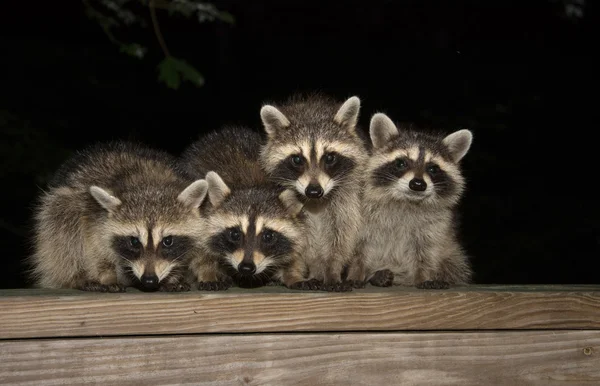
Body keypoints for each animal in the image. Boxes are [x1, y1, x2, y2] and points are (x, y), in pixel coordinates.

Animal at [29, 142, 209, 292]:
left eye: (168, 240)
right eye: (134, 241)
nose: (149, 280)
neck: (148, 184)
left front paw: (172, 277)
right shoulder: (94, 217)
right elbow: (97, 251)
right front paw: (106, 276)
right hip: (61, 205)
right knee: (63, 235)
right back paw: (76, 277)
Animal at [177, 126, 314, 290]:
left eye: (268, 236)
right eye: (235, 234)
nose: (246, 268)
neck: (254, 185)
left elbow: (296, 252)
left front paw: (294, 275)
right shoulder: (202, 216)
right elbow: (200, 253)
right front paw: (208, 274)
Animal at [258, 94, 370, 292]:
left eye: (330, 158)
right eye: (297, 159)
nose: (314, 191)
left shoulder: (347, 198)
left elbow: (342, 236)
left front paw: (333, 269)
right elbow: (301, 242)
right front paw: (306, 271)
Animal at [358, 113, 476, 288]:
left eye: (432, 168)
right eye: (401, 163)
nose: (418, 184)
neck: (407, 202)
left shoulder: (435, 226)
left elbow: (427, 253)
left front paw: (425, 277)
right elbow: (360, 250)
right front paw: (356, 275)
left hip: (453, 254)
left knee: (455, 264)